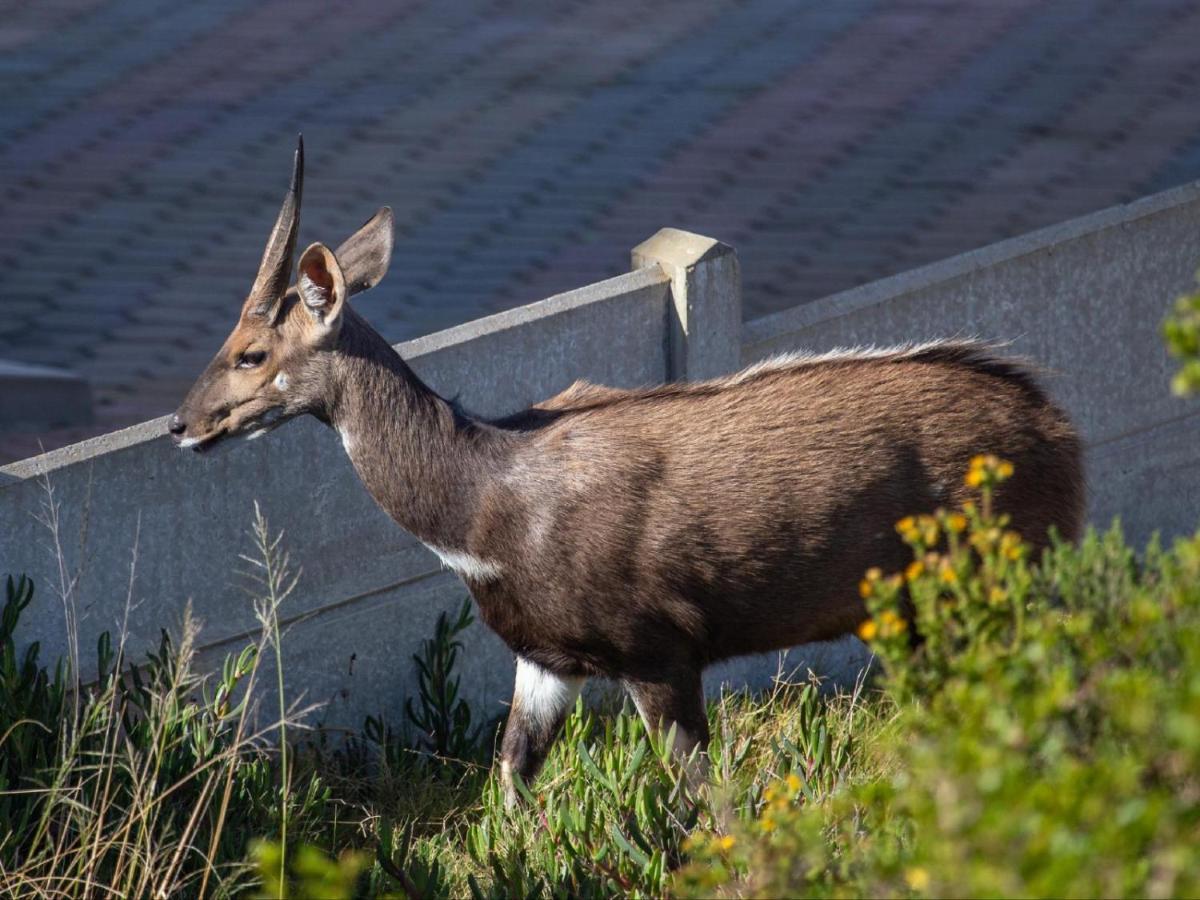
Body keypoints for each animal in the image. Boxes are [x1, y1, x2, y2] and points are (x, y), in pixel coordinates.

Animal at [171, 144, 1089, 806]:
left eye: (251, 353)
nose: (182, 425)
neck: (488, 506)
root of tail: (1059, 428)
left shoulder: (660, 652)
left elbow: (701, 799)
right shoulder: (548, 659)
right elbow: (510, 779)